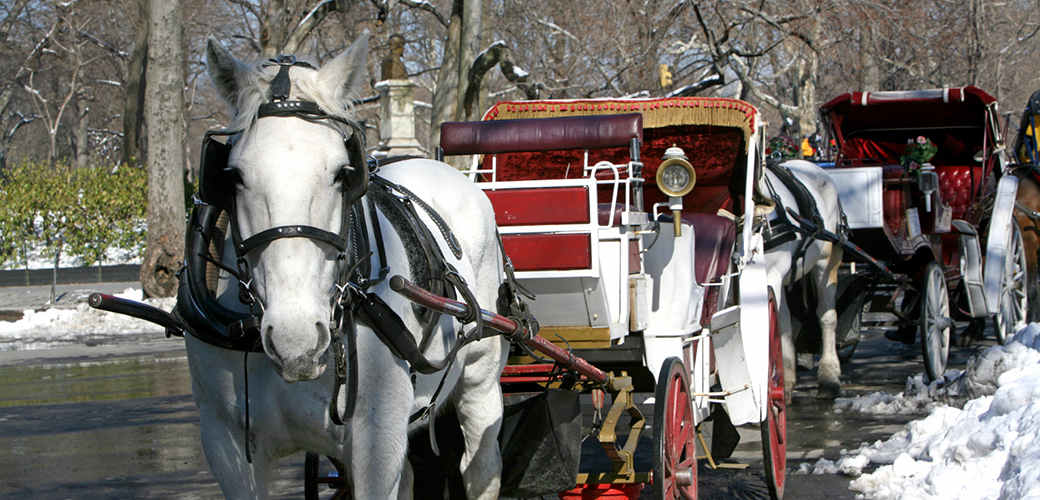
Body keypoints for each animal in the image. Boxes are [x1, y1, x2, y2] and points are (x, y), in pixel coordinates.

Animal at [190, 33, 507, 496]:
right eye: (233, 176)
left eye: (342, 172)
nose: (297, 340)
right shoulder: (224, 442)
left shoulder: (378, 436)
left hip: (481, 375)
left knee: (482, 466)